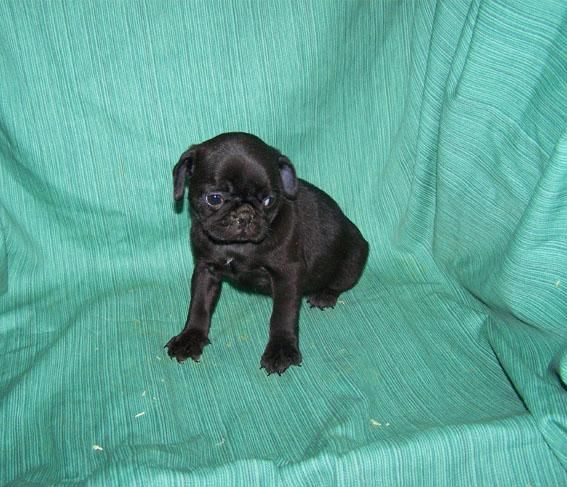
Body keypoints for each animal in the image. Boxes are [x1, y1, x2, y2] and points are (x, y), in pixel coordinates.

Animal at [165, 132, 368, 376]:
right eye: (214, 198)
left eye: (268, 200)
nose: (245, 215)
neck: (236, 246)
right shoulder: (206, 269)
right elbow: (199, 305)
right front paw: (190, 337)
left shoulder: (287, 275)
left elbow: (283, 314)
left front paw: (281, 350)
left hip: (354, 257)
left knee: (339, 282)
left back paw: (325, 295)